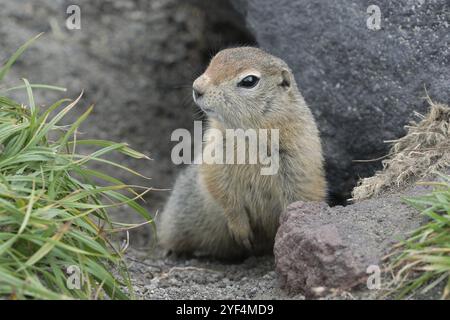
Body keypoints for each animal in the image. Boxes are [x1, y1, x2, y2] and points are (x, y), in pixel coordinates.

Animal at [158, 45, 326, 260]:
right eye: (213, 60)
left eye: (249, 81)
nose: (197, 88)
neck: (248, 133)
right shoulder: (214, 156)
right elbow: (220, 190)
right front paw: (241, 231)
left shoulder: (299, 162)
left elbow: (299, 196)